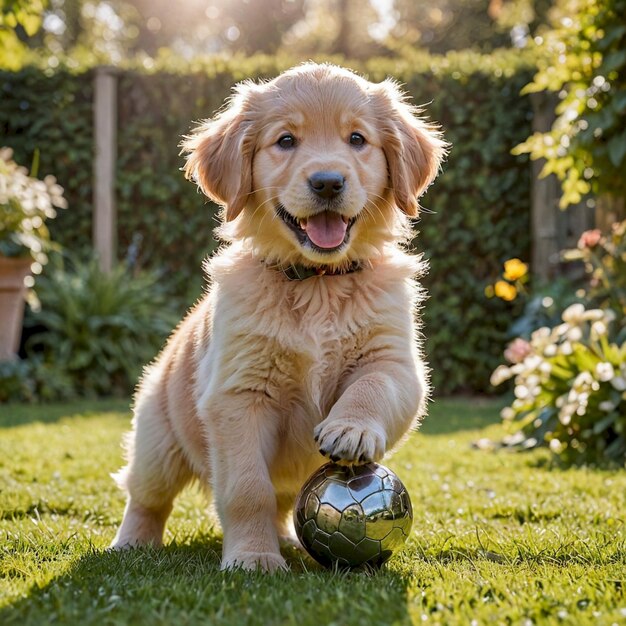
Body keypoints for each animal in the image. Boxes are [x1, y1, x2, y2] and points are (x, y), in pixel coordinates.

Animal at [111, 63, 444, 572]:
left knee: (286, 500)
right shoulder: (238, 394)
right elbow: (248, 489)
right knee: (146, 496)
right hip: (157, 439)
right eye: (286, 141)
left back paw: (288, 537)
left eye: (357, 139)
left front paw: (351, 427)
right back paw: (132, 542)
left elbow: (374, 385)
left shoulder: (396, 361)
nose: (327, 182)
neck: (317, 282)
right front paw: (253, 557)